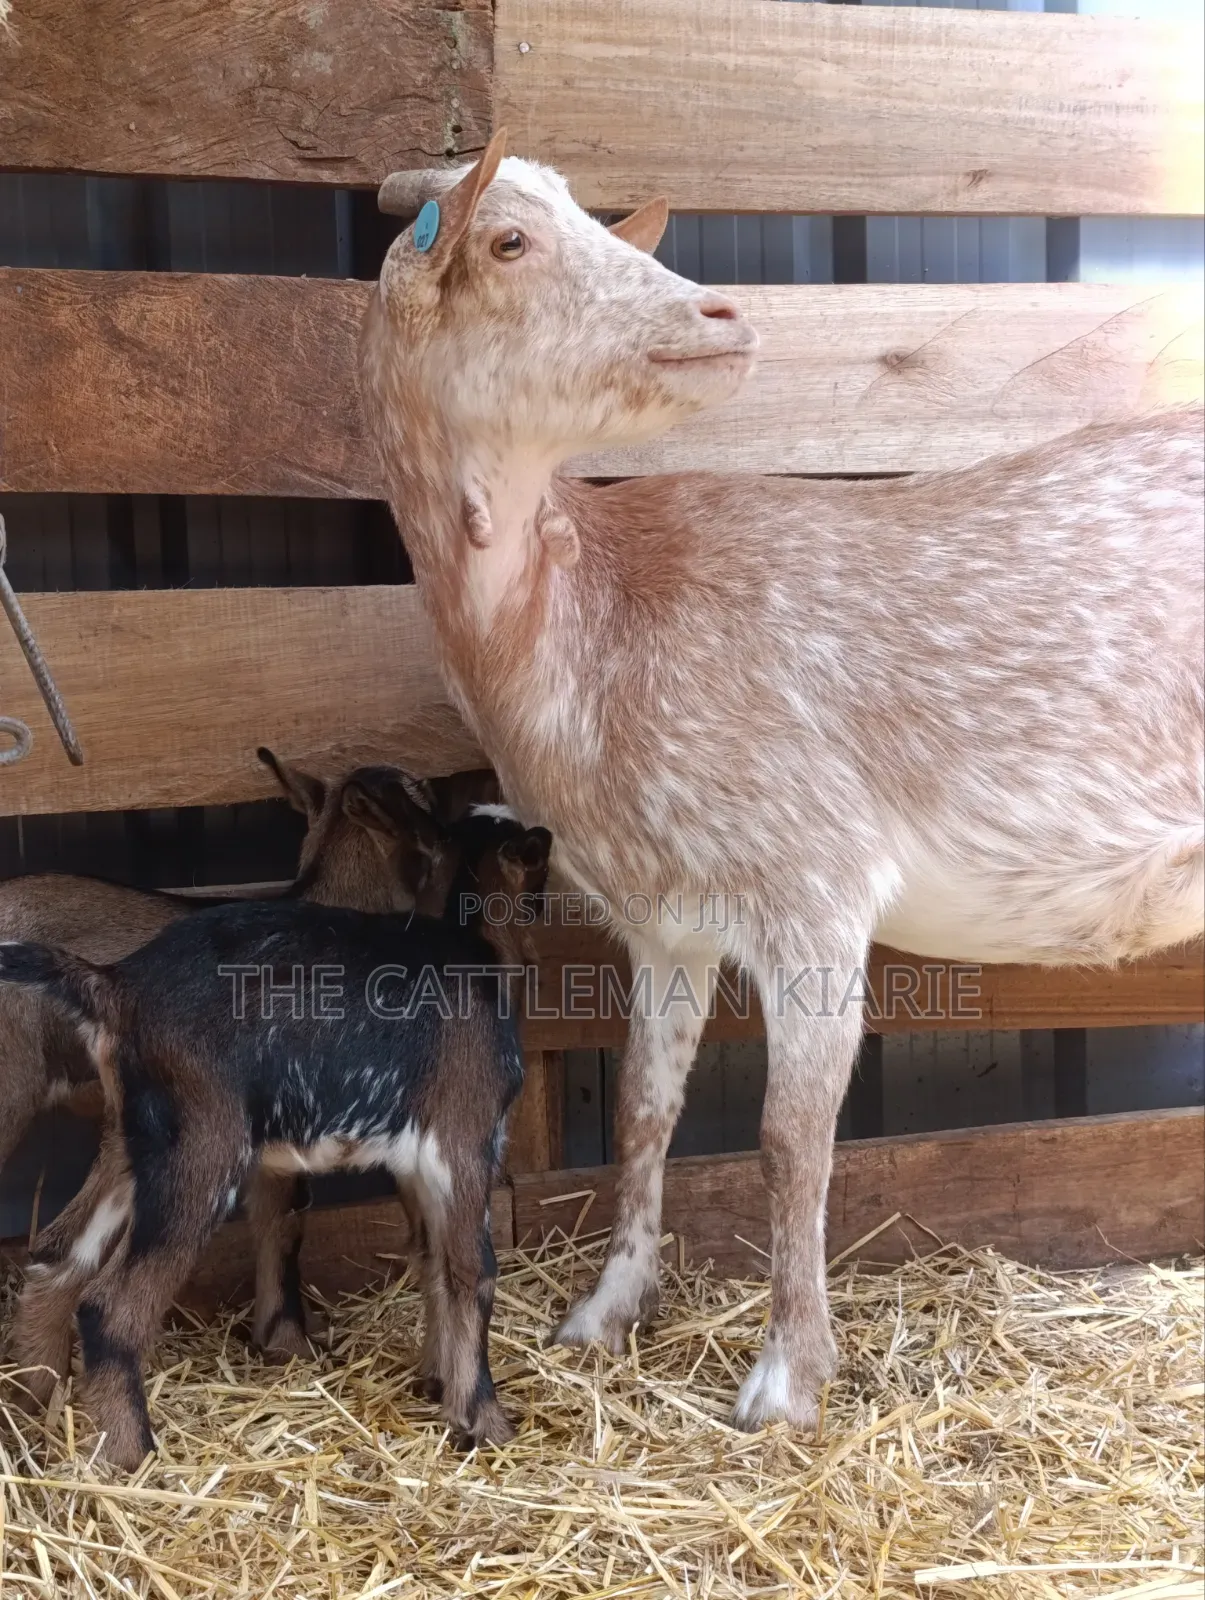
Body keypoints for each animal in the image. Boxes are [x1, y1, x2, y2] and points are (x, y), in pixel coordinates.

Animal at [0, 808, 551, 1467]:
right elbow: (474, 1270)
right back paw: (133, 1457)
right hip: (202, 1147)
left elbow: (432, 1258)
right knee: (110, 1306)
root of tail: (114, 986)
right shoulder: (465, 1136)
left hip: (134, 1144)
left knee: (59, 1257)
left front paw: (438, 1387)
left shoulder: (416, 1163)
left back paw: (35, 1410)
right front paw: (486, 1423)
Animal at [357, 130, 1204, 1431]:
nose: (720, 314)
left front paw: (783, 1377)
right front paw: (605, 1311)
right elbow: (645, 1108)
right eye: (509, 239)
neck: (587, 629)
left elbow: (786, 1137)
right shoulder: (661, 915)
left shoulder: (811, 876)